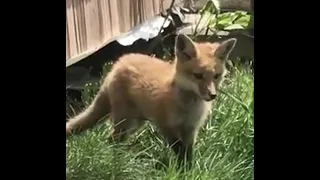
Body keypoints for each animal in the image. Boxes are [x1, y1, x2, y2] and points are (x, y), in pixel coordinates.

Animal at [66, 33, 236, 167]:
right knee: (113, 140)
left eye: (216, 76)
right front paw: (182, 170)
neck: (188, 108)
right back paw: (116, 161)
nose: (212, 95)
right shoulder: (165, 125)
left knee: (111, 139)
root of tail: (118, 64)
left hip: (136, 123)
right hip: (125, 121)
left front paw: (189, 170)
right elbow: (179, 149)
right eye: (198, 76)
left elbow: (188, 154)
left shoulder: (191, 129)